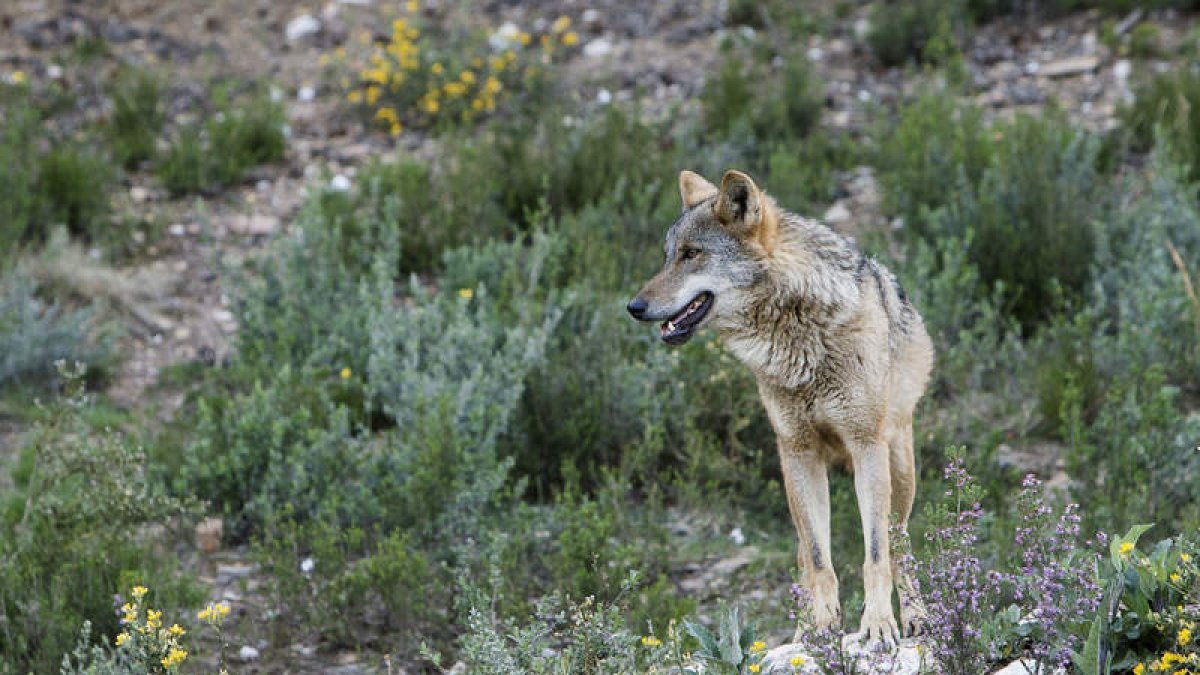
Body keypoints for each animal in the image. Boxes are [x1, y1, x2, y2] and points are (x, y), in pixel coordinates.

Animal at [628, 168, 936, 648]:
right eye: (667, 257)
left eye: (692, 254)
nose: (634, 307)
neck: (800, 336)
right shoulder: (796, 451)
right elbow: (818, 559)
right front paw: (822, 628)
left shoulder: (865, 445)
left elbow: (874, 554)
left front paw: (878, 625)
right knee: (804, 556)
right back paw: (803, 627)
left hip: (899, 466)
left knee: (899, 544)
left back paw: (917, 619)